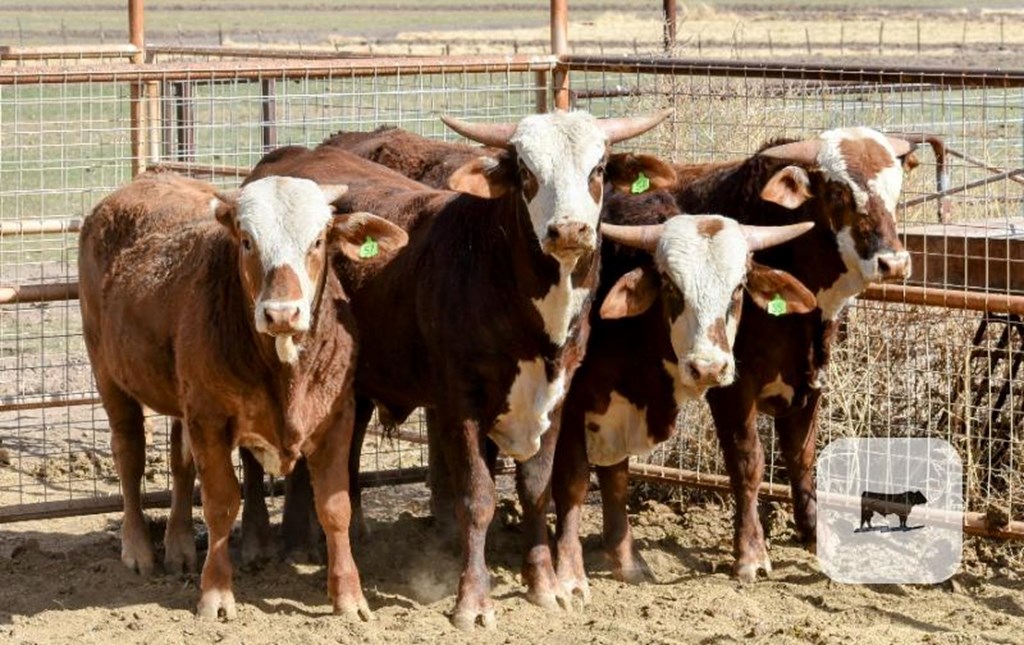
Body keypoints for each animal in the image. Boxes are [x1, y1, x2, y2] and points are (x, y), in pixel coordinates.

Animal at [77, 170, 405, 622]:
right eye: (247, 240)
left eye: (318, 239)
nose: (282, 313)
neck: (283, 371)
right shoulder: (210, 420)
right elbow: (221, 504)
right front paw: (216, 594)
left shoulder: (337, 417)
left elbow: (335, 507)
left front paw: (349, 597)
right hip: (108, 372)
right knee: (129, 453)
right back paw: (139, 548)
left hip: (180, 398)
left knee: (180, 462)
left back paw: (179, 546)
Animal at [243, 111, 675, 630]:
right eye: (526, 171)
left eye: (598, 167)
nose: (569, 231)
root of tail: (287, 157)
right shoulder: (459, 404)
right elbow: (476, 497)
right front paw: (473, 601)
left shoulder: (556, 394)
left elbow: (537, 488)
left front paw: (544, 584)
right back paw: (264, 545)